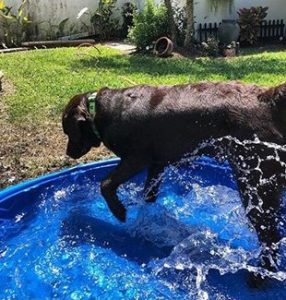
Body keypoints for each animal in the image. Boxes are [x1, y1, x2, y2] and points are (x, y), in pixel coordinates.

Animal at [62, 82, 286, 286]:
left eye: (68, 131)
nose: (68, 153)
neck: (100, 111)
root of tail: (268, 99)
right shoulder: (157, 164)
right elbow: (149, 194)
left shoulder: (136, 158)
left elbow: (106, 184)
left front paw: (119, 212)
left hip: (254, 182)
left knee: (270, 235)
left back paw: (261, 275)